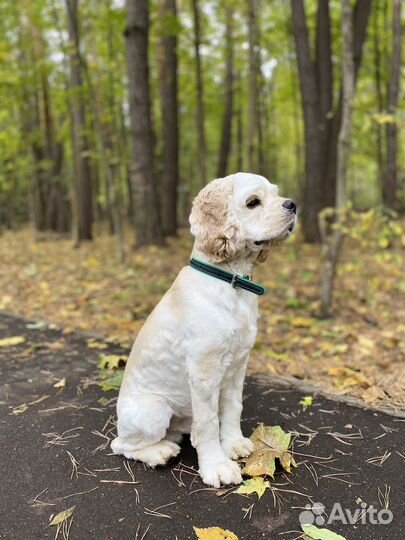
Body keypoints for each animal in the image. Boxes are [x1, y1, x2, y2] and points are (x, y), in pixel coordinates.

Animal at [112, 174, 296, 490]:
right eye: (253, 202)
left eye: (276, 193)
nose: (293, 205)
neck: (231, 282)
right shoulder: (204, 371)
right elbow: (209, 423)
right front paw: (217, 467)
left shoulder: (238, 365)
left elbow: (232, 408)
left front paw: (234, 444)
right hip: (154, 409)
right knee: (121, 445)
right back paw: (160, 452)